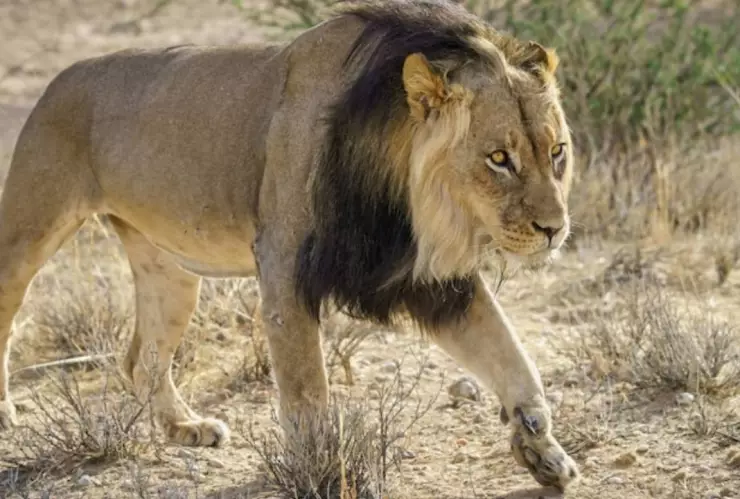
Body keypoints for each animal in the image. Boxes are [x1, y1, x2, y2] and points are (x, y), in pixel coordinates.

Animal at [0, 0, 578, 490]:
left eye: (557, 152)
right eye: (499, 159)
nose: (555, 228)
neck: (402, 192)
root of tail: (63, 75)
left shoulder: (427, 278)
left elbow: (511, 355)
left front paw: (542, 447)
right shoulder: (282, 265)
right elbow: (307, 394)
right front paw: (326, 472)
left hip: (169, 273)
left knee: (141, 358)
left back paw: (185, 427)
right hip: (28, 231)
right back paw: (7, 412)